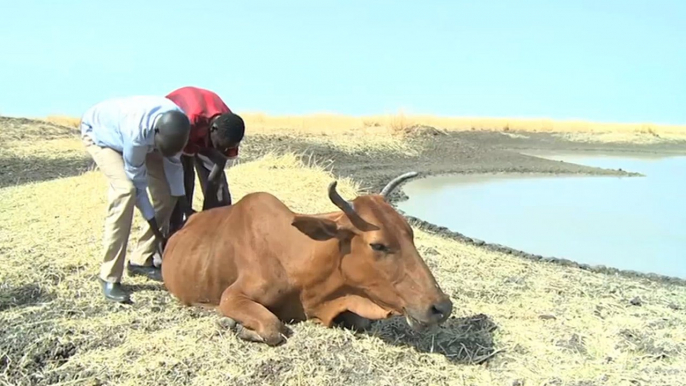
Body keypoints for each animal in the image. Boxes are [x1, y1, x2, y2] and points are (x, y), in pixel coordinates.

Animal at [161, 170, 452, 346]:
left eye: (410, 233)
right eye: (377, 245)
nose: (441, 307)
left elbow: (361, 321)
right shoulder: (232, 296)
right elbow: (273, 327)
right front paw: (232, 324)